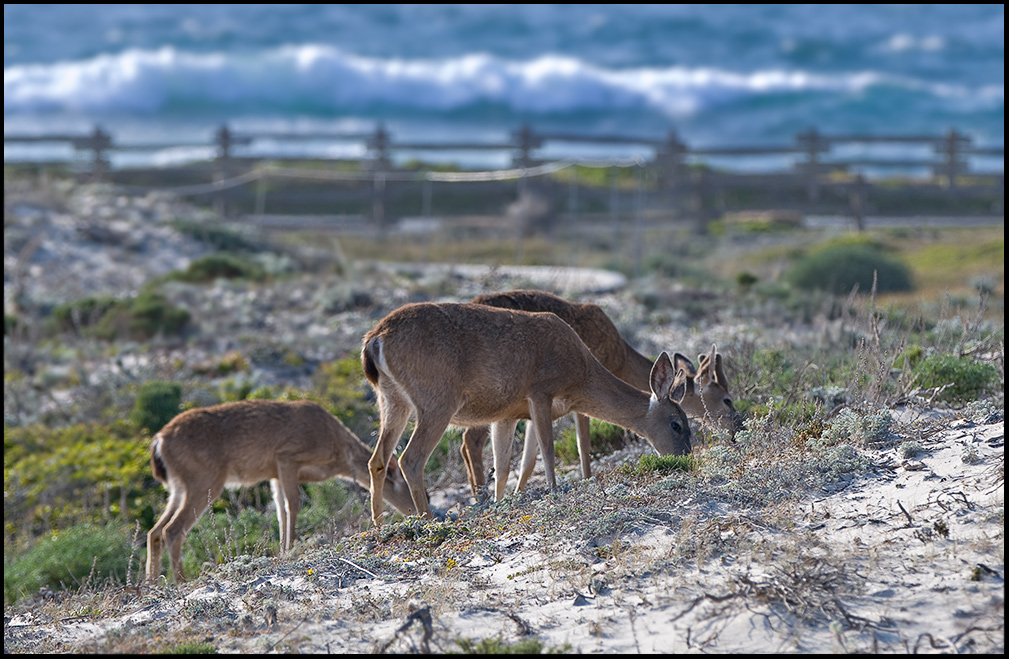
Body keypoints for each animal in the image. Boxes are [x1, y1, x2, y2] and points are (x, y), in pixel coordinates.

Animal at [146, 395, 413, 581]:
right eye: (406, 485)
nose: (414, 512)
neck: (337, 453)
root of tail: (158, 441)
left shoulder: (274, 473)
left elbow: (281, 511)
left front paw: (285, 550)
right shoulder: (287, 456)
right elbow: (293, 505)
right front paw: (291, 548)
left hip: (179, 487)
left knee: (155, 531)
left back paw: (152, 583)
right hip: (204, 479)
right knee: (172, 530)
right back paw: (180, 581)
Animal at [359, 302, 690, 524]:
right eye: (677, 424)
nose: (685, 457)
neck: (580, 377)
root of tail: (375, 339)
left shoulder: (509, 414)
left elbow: (510, 465)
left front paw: (502, 502)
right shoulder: (540, 391)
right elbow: (547, 452)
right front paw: (554, 492)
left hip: (391, 400)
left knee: (377, 459)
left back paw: (378, 525)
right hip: (437, 399)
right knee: (410, 458)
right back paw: (427, 521)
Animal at [460, 288, 742, 492]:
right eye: (727, 399)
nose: (738, 428)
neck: (621, 358)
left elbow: (531, 457)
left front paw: (520, 492)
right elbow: (582, 444)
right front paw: (586, 479)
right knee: (470, 439)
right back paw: (477, 496)